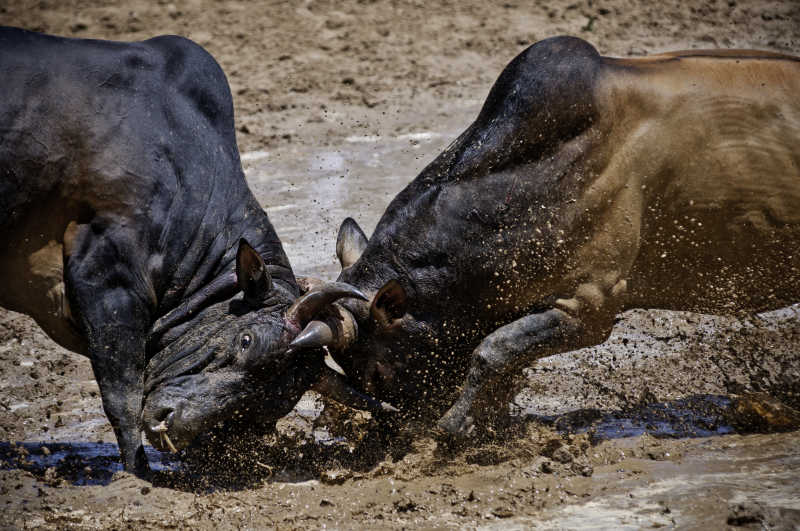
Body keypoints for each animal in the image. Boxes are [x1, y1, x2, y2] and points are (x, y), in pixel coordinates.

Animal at [0, 28, 366, 478]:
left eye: (273, 402)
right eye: (245, 340)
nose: (168, 425)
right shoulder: (105, 282)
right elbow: (123, 398)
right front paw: (138, 475)